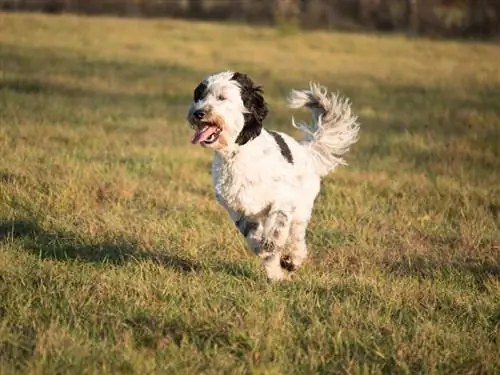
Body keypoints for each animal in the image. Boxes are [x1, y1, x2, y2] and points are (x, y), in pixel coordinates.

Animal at [188, 72, 360, 280]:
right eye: (199, 96)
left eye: (222, 97)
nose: (198, 113)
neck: (238, 154)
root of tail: (306, 150)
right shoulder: (237, 208)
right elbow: (254, 237)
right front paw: (265, 254)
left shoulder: (283, 198)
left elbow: (277, 228)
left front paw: (272, 245)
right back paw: (277, 274)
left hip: (302, 206)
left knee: (296, 234)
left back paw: (292, 258)